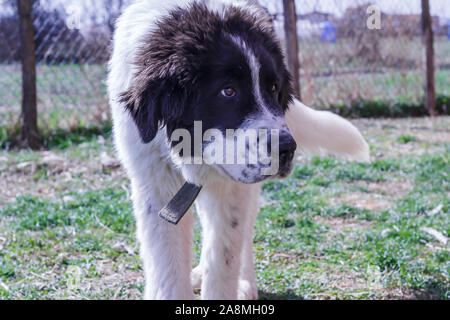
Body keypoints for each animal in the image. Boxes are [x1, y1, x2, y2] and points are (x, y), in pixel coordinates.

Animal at [108, 0, 370, 300]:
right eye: (228, 91)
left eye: (273, 88)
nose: (287, 148)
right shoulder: (153, 180)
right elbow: (167, 264)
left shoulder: (232, 185)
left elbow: (224, 256)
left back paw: (244, 284)